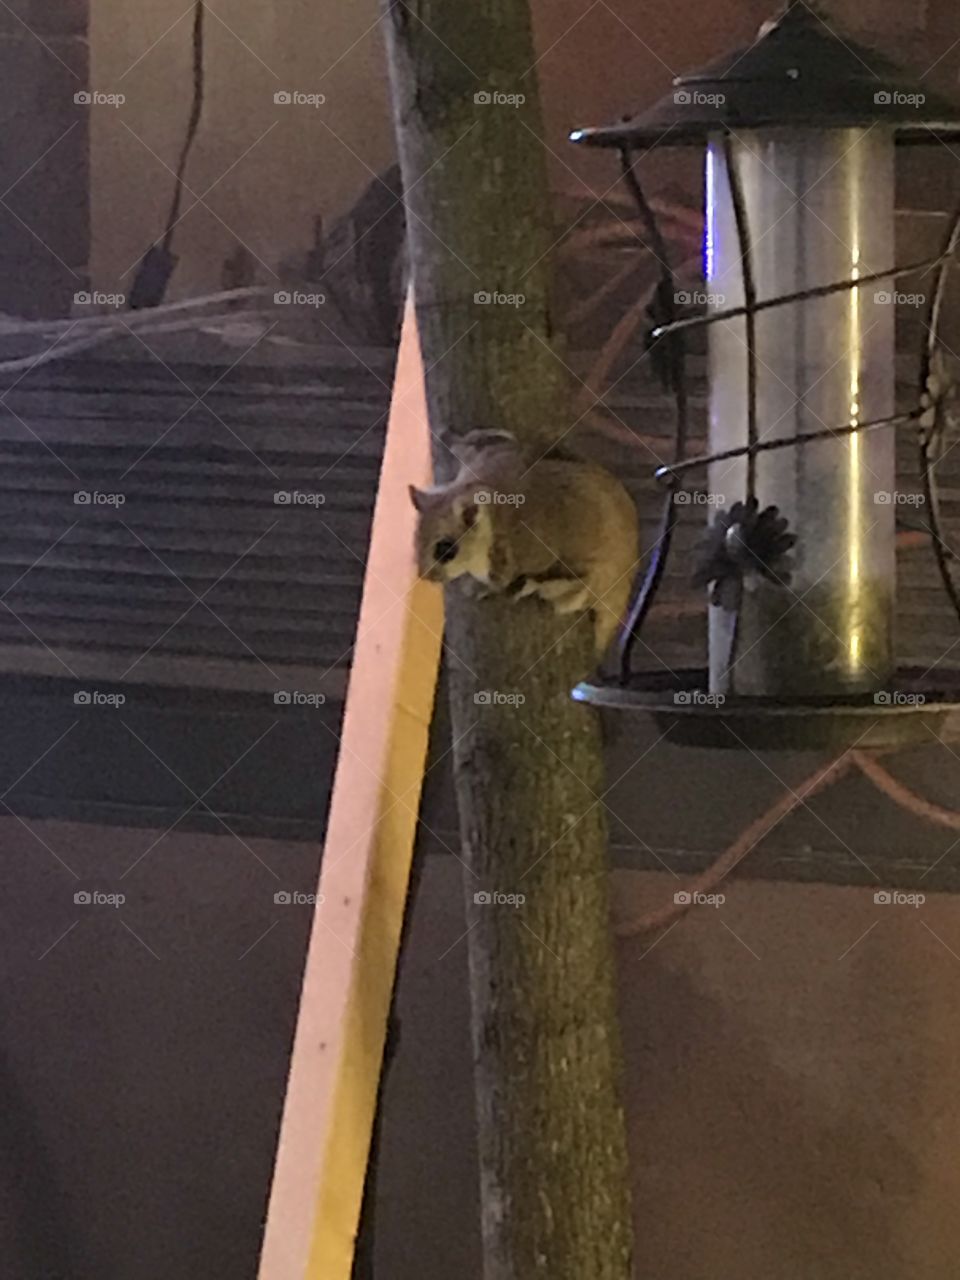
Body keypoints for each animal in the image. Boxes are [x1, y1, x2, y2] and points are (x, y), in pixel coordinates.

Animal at [409, 429, 639, 658]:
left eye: (446, 549)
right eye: (415, 538)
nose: (425, 576)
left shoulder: (527, 550)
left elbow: (501, 579)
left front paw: (480, 588)